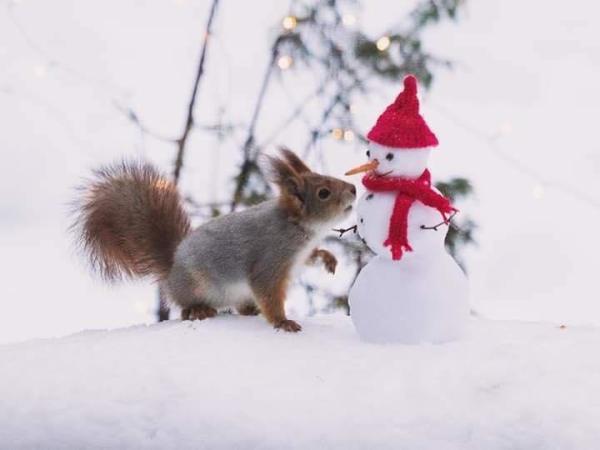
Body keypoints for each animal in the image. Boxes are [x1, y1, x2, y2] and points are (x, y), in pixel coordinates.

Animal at [74, 149, 356, 332]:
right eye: (323, 193)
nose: (353, 189)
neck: (297, 226)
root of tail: (171, 270)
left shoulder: (300, 254)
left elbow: (311, 257)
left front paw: (327, 258)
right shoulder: (271, 257)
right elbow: (267, 290)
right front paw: (282, 322)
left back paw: (249, 310)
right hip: (195, 287)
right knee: (184, 309)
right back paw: (198, 310)